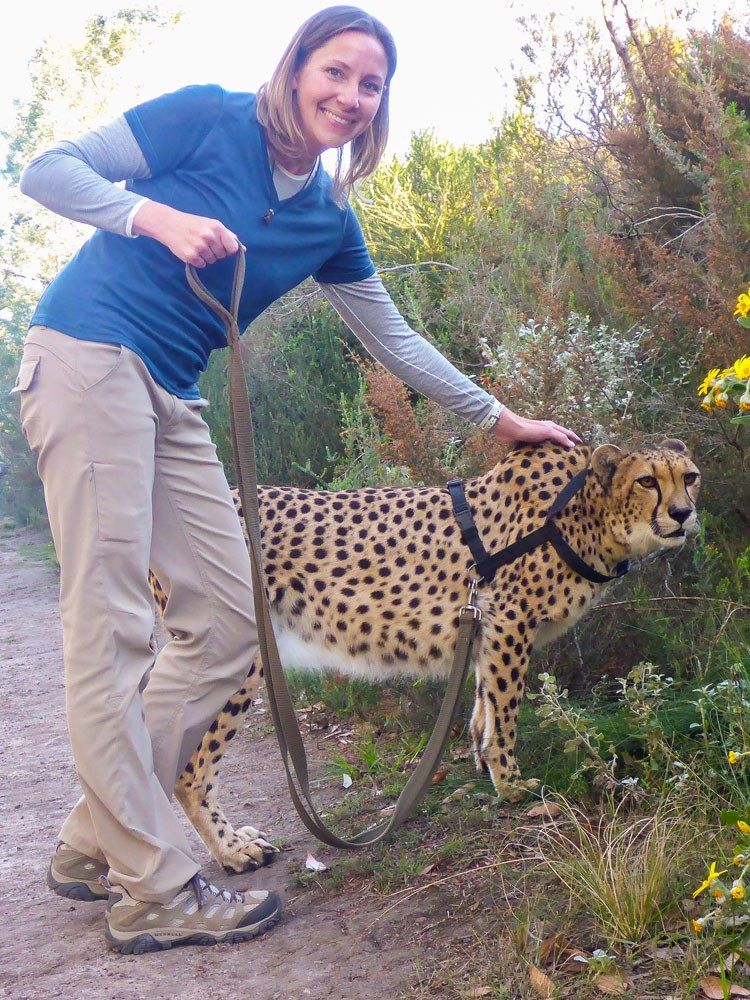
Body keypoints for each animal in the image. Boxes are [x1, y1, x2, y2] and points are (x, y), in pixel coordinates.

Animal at [150, 438, 704, 868]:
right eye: (647, 481)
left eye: (690, 477)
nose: (683, 513)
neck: (583, 512)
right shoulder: (509, 620)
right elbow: (506, 709)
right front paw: (511, 785)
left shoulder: (483, 624)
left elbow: (483, 704)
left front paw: (482, 762)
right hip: (240, 647)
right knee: (189, 767)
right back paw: (230, 852)